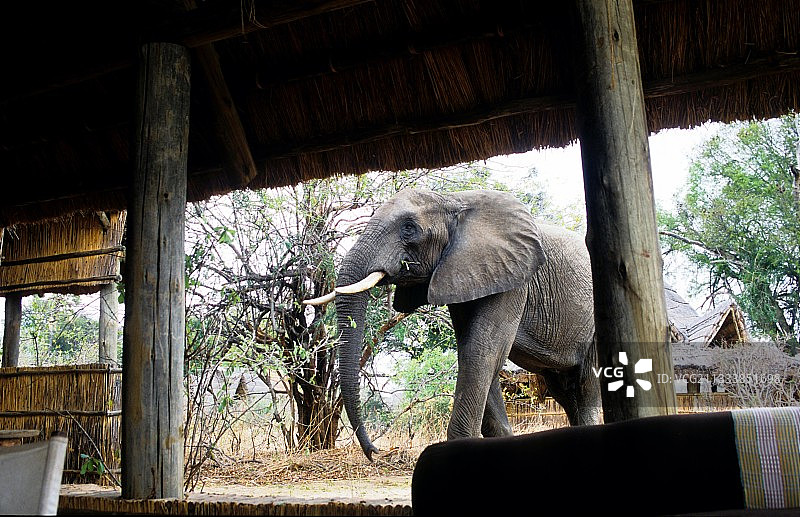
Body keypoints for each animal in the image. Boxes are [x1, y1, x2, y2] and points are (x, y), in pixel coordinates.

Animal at [305, 188, 602, 460]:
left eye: (409, 228)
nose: (376, 452)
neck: (454, 201)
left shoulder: (515, 279)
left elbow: (482, 352)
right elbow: (473, 350)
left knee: (587, 385)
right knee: (564, 390)